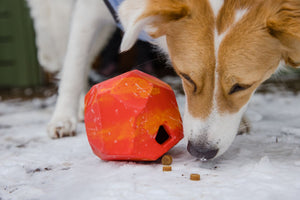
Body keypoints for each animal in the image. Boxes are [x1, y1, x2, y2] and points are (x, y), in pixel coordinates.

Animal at [28, 0, 300, 160]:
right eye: (186, 77)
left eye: (242, 86)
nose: (200, 152)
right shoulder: (90, 10)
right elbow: (74, 63)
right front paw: (62, 119)